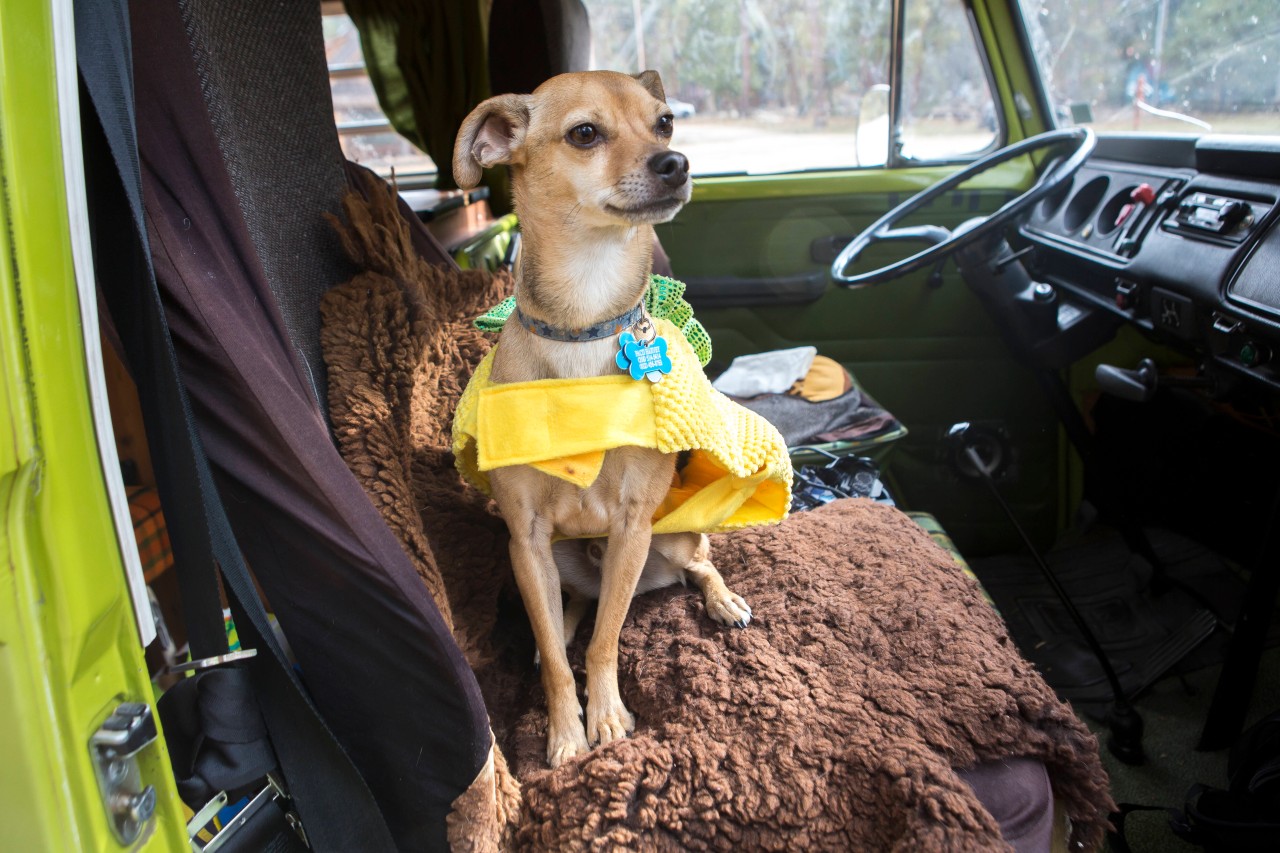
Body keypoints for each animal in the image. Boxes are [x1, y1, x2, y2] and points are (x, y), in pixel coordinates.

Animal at [453, 71, 747, 763]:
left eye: (665, 122)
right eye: (585, 133)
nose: (675, 163)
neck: (585, 319)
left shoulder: (632, 526)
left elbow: (606, 641)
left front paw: (607, 717)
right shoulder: (527, 541)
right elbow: (564, 656)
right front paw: (565, 732)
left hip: (666, 538)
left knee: (699, 561)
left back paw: (723, 601)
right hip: (562, 561)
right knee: (574, 613)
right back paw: (557, 632)